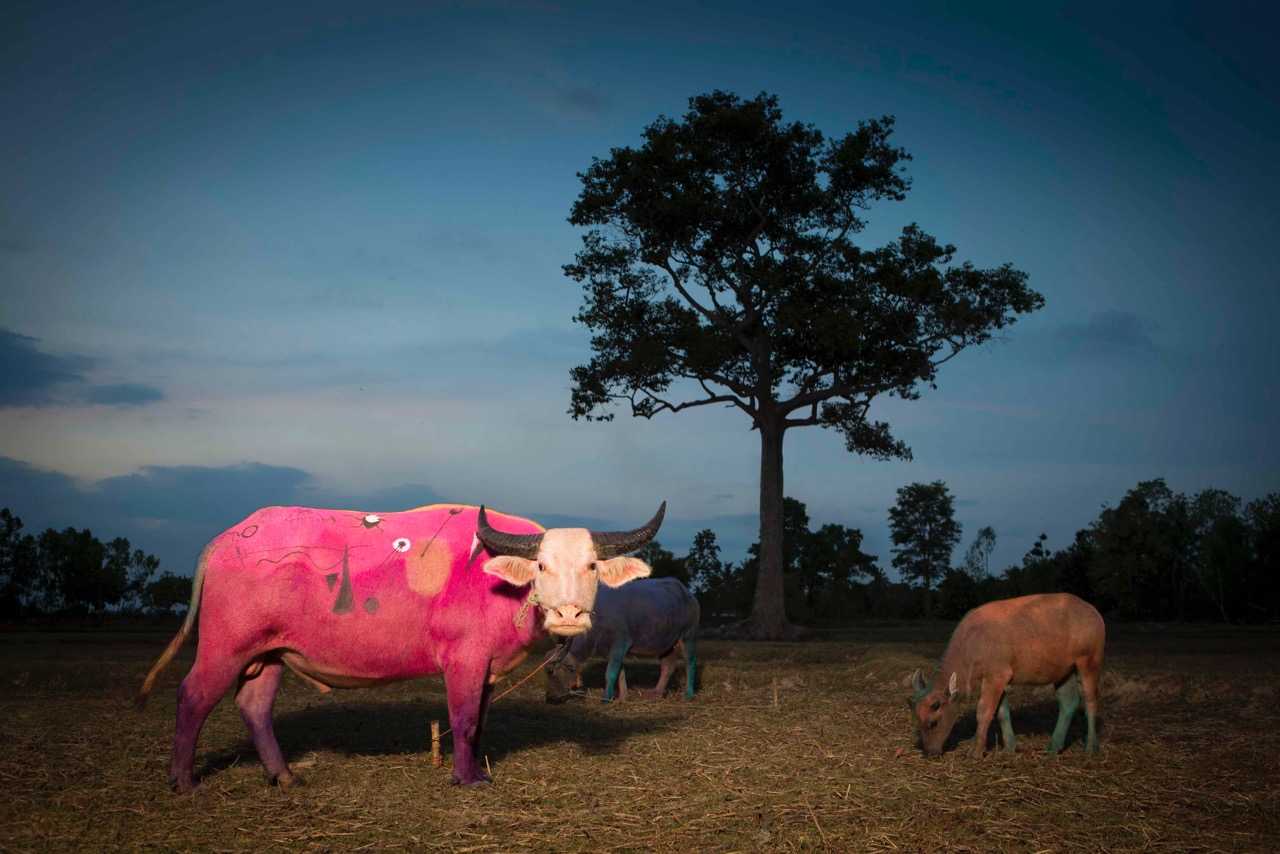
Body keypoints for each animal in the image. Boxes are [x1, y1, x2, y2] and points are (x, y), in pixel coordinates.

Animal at [136, 501, 665, 788]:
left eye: (591, 566)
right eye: (541, 566)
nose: (568, 615)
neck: (494, 579)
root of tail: (226, 541)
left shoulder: (487, 669)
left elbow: (480, 720)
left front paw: (476, 766)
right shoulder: (463, 661)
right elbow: (463, 718)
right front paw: (466, 778)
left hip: (267, 655)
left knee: (254, 706)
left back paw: (284, 775)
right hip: (224, 648)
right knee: (193, 697)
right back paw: (183, 780)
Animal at [906, 591, 1105, 757]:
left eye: (934, 722)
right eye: (917, 721)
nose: (930, 752)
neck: (973, 642)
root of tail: (1093, 610)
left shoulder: (997, 675)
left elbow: (984, 711)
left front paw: (976, 751)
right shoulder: (999, 679)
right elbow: (1002, 712)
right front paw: (1009, 747)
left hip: (1089, 661)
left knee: (1090, 700)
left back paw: (1090, 746)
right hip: (1064, 671)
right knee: (1068, 702)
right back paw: (1053, 747)